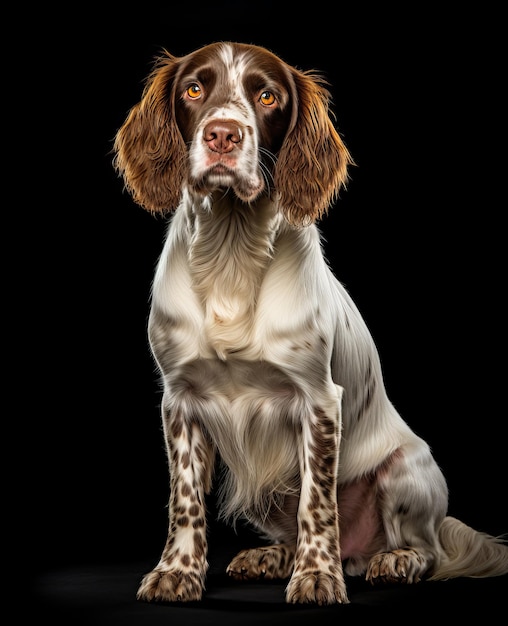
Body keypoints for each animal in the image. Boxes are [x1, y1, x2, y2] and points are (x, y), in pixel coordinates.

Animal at [112, 40, 508, 604]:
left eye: (267, 95)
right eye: (193, 88)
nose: (223, 135)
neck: (231, 254)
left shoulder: (318, 401)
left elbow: (318, 504)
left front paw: (318, 575)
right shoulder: (179, 401)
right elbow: (184, 499)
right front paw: (177, 572)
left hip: (408, 470)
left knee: (426, 548)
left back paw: (392, 561)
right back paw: (269, 556)